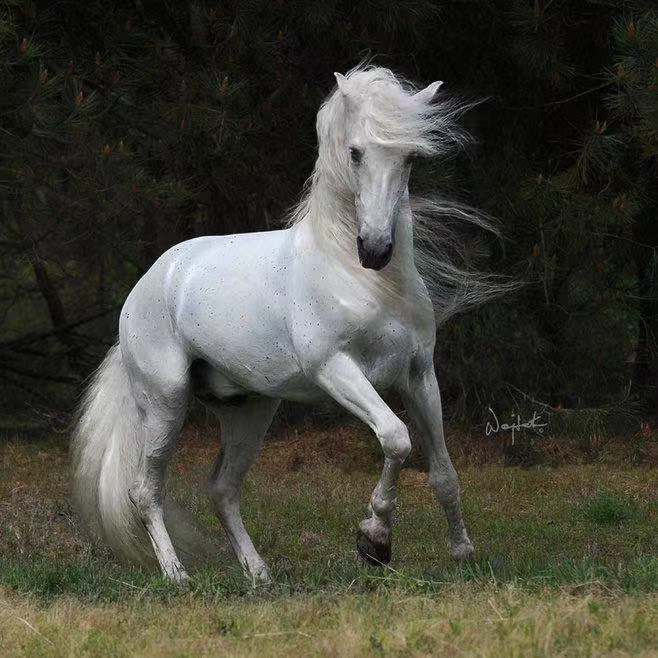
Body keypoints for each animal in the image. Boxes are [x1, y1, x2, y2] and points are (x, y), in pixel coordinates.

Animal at [72, 65, 496, 586]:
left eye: (410, 157)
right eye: (355, 152)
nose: (375, 249)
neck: (358, 278)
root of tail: (145, 288)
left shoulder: (419, 375)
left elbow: (443, 469)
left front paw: (463, 553)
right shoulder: (336, 369)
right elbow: (396, 439)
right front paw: (374, 541)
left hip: (250, 411)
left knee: (222, 489)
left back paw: (260, 575)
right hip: (166, 403)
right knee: (145, 490)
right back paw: (177, 575)